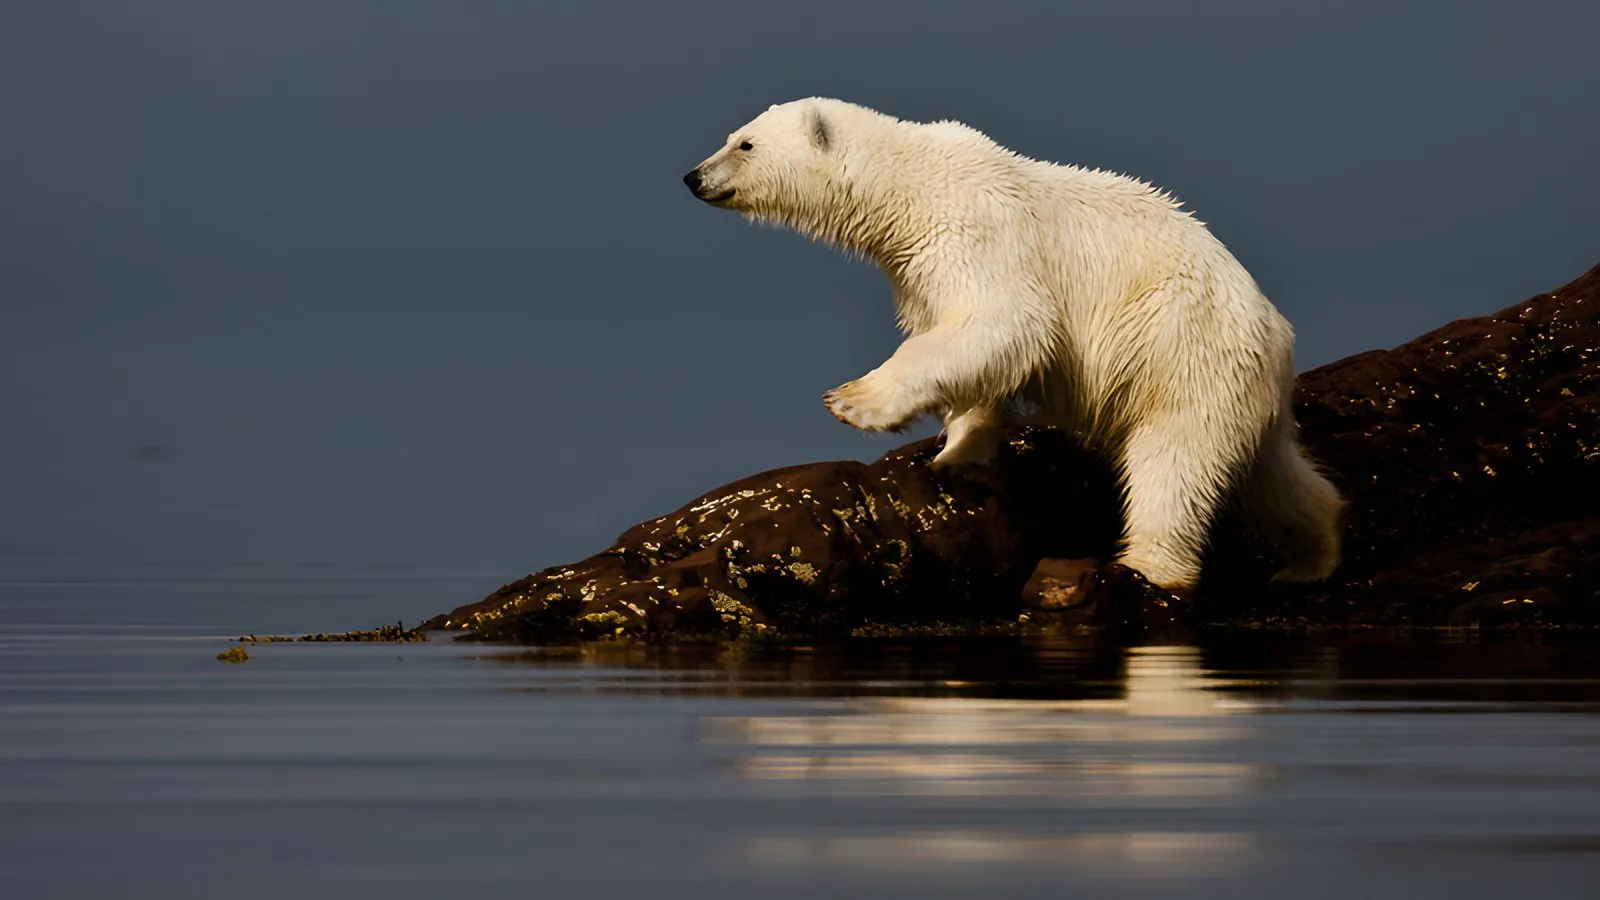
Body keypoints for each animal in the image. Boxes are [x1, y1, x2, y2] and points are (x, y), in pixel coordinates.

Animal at [683, 97, 1344, 593]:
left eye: (745, 145)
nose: (693, 177)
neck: (909, 187)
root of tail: (1277, 333)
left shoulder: (975, 235)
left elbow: (1004, 324)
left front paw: (855, 402)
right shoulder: (918, 268)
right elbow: (973, 354)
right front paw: (957, 454)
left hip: (1182, 354)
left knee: (1173, 465)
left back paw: (1147, 566)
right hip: (1238, 389)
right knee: (1270, 478)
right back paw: (1312, 554)